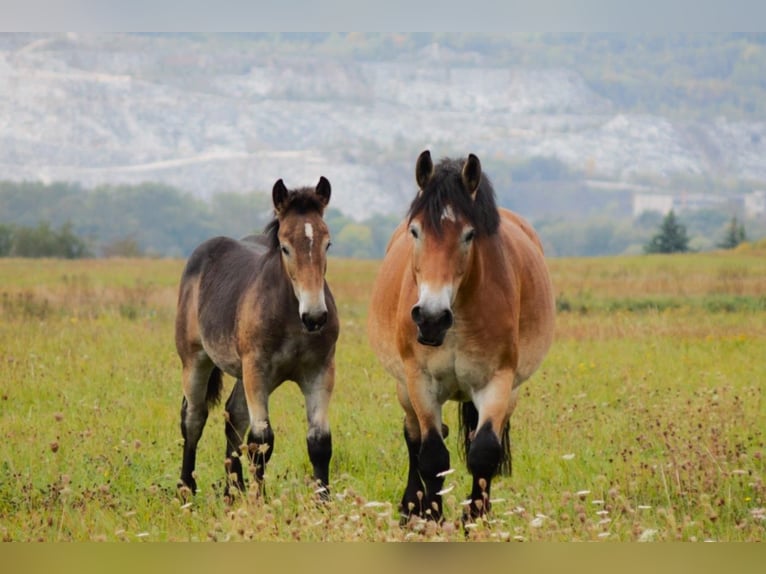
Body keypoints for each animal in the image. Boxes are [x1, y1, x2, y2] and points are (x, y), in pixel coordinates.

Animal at [175, 176, 339, 501]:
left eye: (327, 244)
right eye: (285, 247)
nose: (315, 317)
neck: (291, 316)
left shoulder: (320, 371)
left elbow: (319, 442)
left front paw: (324, 503)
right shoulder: (257, 370)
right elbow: (261, 440)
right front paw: (259, 501)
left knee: (234, 415)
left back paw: (232, 491)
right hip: (196, 360)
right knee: (194, 417)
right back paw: (187, 490)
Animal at [367, 151, 555, 523]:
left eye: (469, 235)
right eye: (416, 231)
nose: (431, 318)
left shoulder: (496, 381)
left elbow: (484, 452)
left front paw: (476, 518)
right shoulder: (420, 381)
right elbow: (432, 455)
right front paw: (431, 516)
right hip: (404, 387)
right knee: (414, 436)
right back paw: (411, 508)